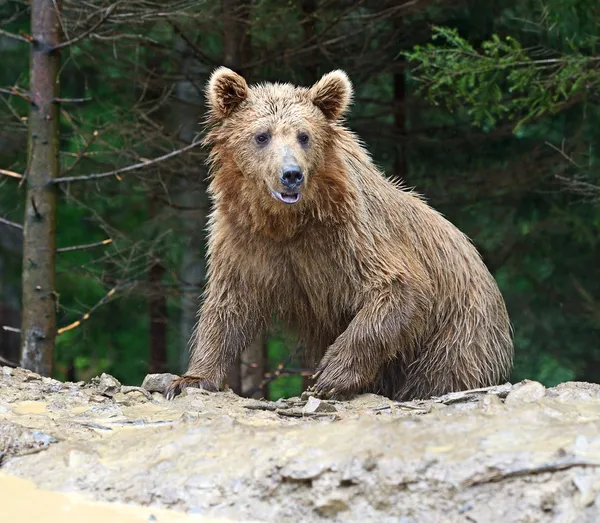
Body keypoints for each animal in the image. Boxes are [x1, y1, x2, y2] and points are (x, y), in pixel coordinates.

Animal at [164, 66, 510, 402]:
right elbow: (228, 307)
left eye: (304, 135)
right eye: (261, 135)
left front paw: (329, 377)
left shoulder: (351, 236)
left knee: (443, 373)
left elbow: (396, 289)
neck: (286, 222)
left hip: (457, 331)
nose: (291, 175)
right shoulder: (244, 241)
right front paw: (190, 378)